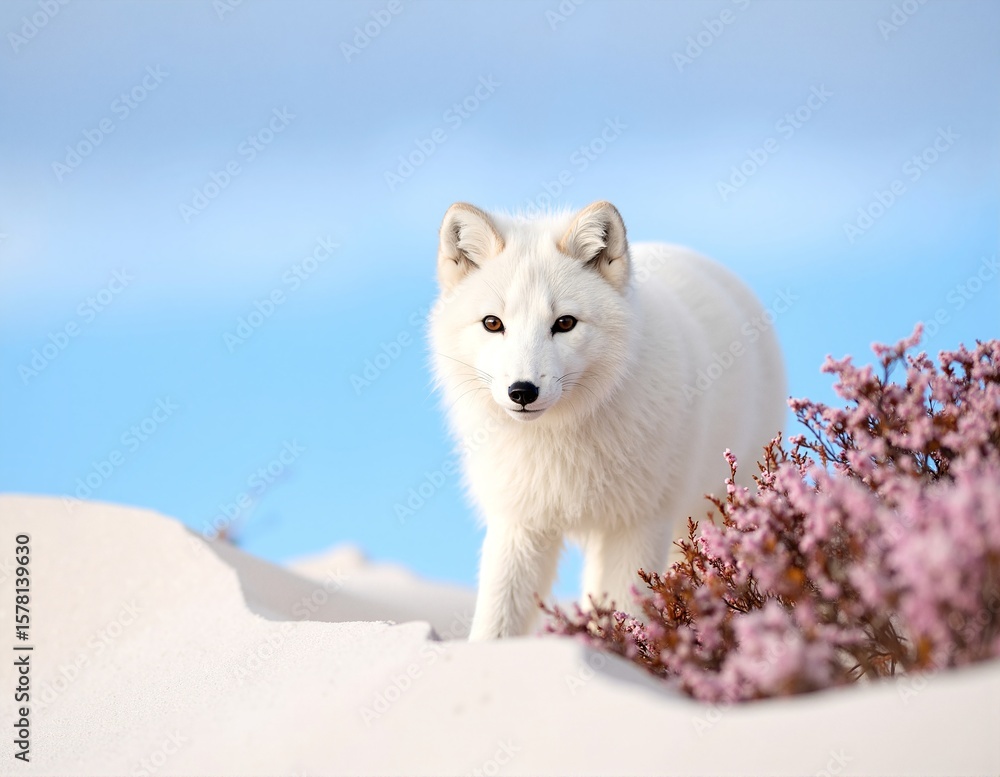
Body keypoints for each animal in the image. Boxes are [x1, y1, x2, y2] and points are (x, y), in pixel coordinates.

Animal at [429, 201, 786, 640]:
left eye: (564, 323)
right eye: (492, 323)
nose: (522, 391)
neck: (558, 442)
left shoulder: (638, 525)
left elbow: (630, 613)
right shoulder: (520, 522)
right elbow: (497, 621)